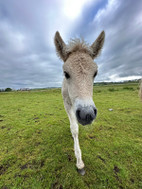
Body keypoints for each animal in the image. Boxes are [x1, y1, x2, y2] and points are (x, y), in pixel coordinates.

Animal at [54, 30, 105, 174]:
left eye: (95, 73)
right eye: (66, 73)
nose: (87, 114)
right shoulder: (67, 104)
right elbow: (74, 128)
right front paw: (79, 163)